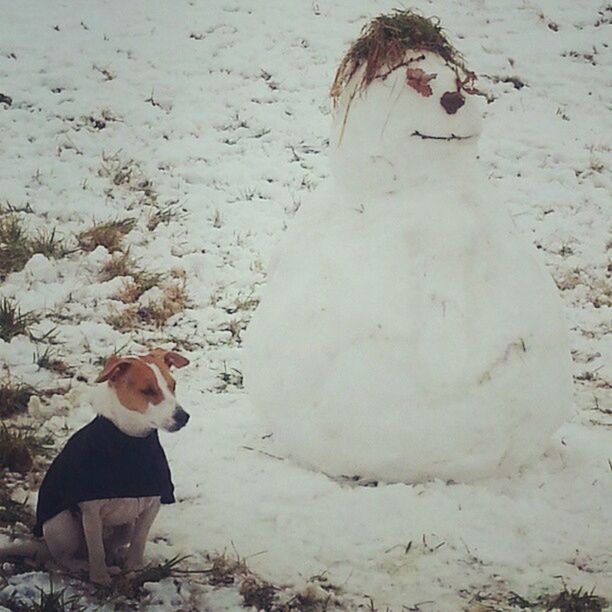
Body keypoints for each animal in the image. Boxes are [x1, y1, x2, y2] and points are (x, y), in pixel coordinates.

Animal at [0, 350, 189, 584]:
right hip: (62, 524)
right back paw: (81, 565)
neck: (130, 441)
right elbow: (96, 548)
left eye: (173, 385)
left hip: (125, 527)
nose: (183, 417)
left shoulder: (151, 505)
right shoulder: (91, 510)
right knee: (61, 558)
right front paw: (100, 578)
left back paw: (116, 559)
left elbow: (138, 543)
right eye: (147, 390)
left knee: (110, 547)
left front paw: (134, 569)